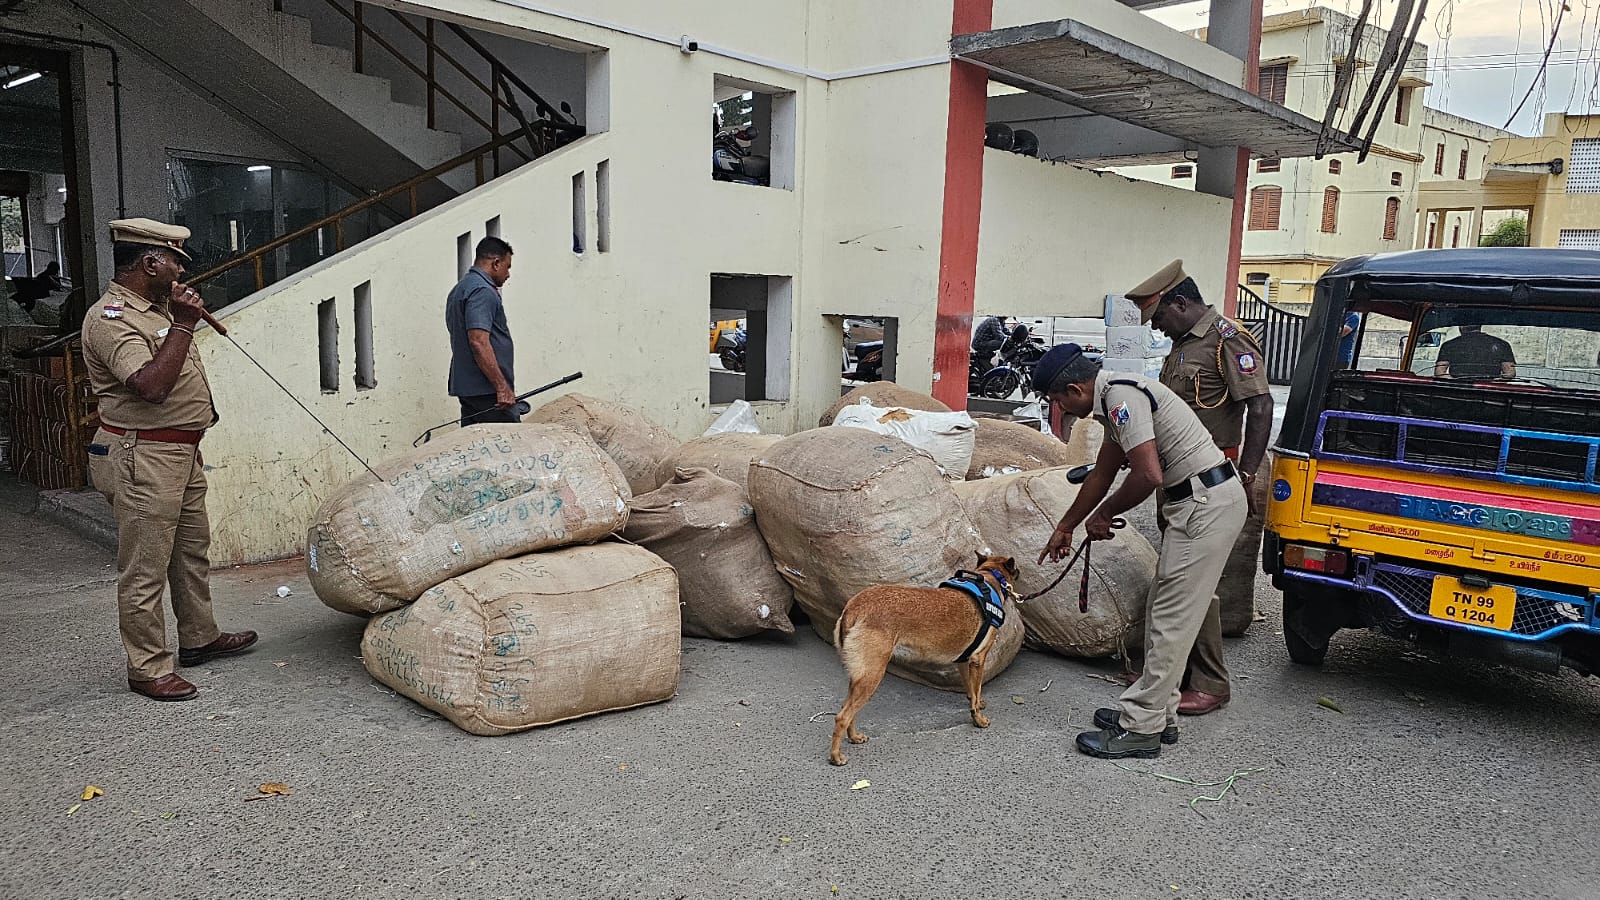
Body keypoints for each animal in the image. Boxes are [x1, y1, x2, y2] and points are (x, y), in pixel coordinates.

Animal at [832, 554, 1017, 762]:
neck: (988, 579)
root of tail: (853, 607)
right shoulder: (978, 660)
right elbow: (976, 691)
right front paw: (978, 719)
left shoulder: (964, 661)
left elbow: (971, 690)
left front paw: (976, 702)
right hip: (872, 676)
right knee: (842, 717)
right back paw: (836, 756)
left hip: (859, 676)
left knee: (848, 710)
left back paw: (854, 737)